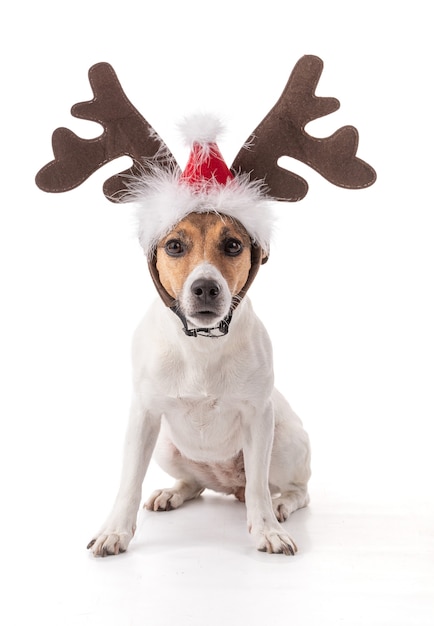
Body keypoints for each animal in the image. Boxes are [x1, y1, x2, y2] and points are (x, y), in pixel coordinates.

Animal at [87, 211, 312, 556]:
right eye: (174, 246)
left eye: (233, 245)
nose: (205, 288)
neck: (202, 345)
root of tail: (228, 485)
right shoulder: (144, 415)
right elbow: (129, 482)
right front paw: (115, 531)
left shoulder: (259, 417)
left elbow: (258, 487)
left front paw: (268, 530)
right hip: (166, 447)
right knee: (195, 484)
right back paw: (172, 493)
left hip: (285, 442)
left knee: (296, 490)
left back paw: (281, 504)